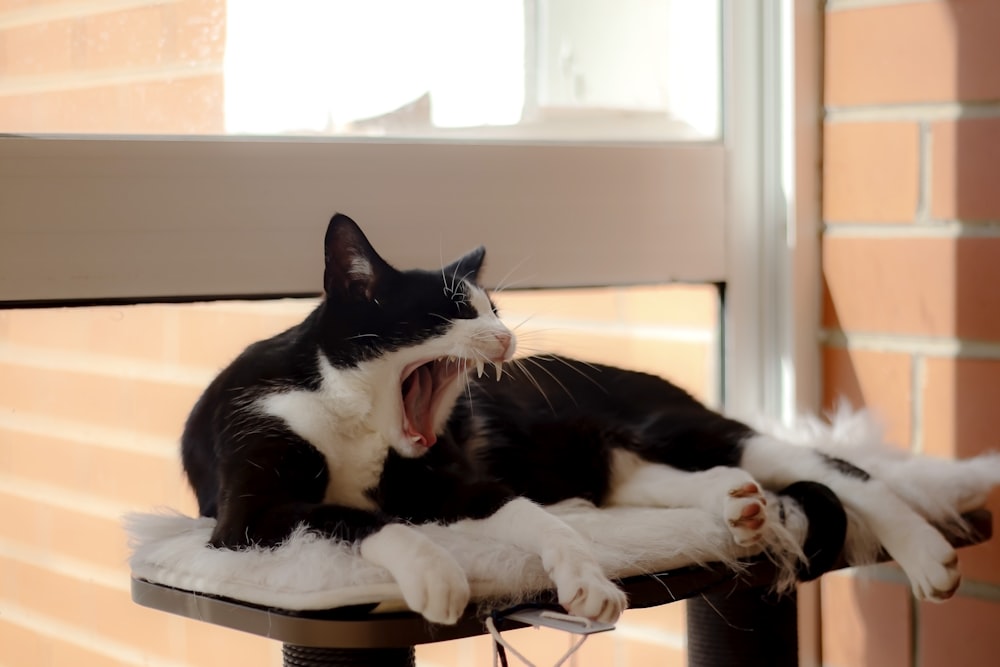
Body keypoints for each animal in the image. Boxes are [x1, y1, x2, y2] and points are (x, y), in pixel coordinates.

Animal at [184, 215, 996, 628]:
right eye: (454, 311)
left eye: (492, 306)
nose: (507, 336)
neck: (354, 416)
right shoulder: (246, 514)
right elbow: (353, 518)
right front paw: (436, 570)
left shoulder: (454, 476)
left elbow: (526, 516)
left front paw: (585, 581)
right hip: (621, 461)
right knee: (676, 480)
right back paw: (738, 510)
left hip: (668, 419)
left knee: (831, 465)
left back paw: (925, 549)